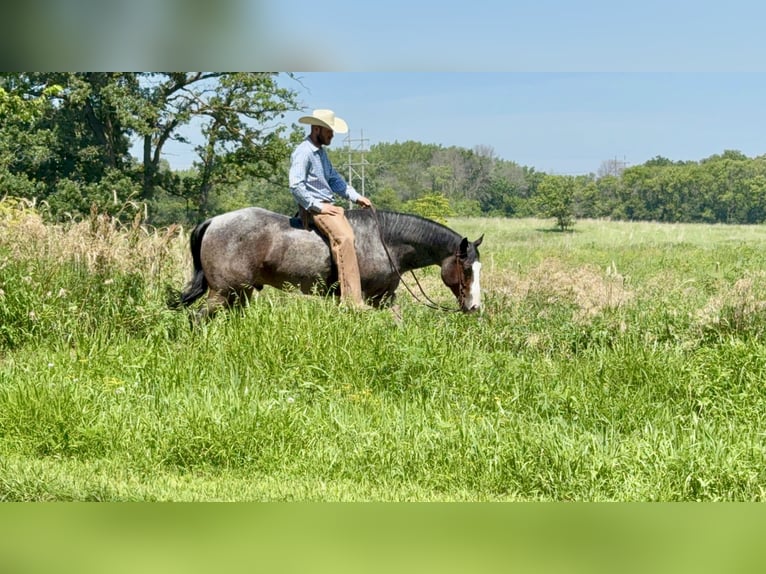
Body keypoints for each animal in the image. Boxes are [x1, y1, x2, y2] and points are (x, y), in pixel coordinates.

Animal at [169, 206, 484, 319]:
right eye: (466, 269)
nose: (474, 306)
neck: (385, 241)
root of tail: (214, 221)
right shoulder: (363, 297)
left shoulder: (384, 297)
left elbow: (397, 321)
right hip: (223, 293)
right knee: (196, 319)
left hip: (239, 294)